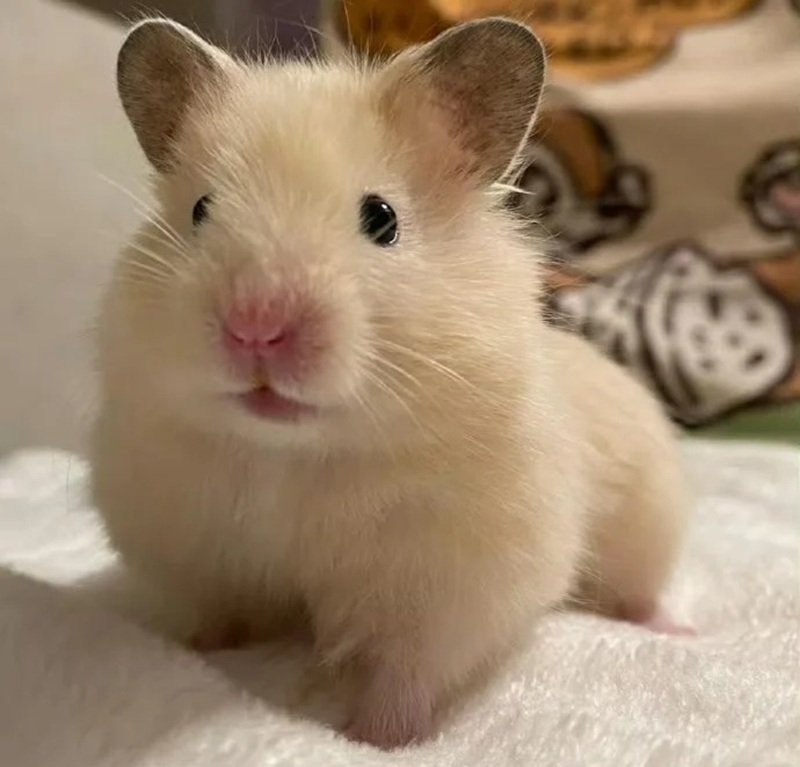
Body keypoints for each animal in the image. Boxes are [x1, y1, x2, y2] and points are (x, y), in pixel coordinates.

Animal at [91, 17, 692, 750]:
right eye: (201, 210)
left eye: (381, 219)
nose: (256, 327)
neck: (292, 455)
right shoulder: (178, 542)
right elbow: (206, 624)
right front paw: (187, 659)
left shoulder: (456, 581)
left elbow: (408, 673)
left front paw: (374, 737)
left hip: (650, 518)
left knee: (643, 591)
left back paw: (676, 629)